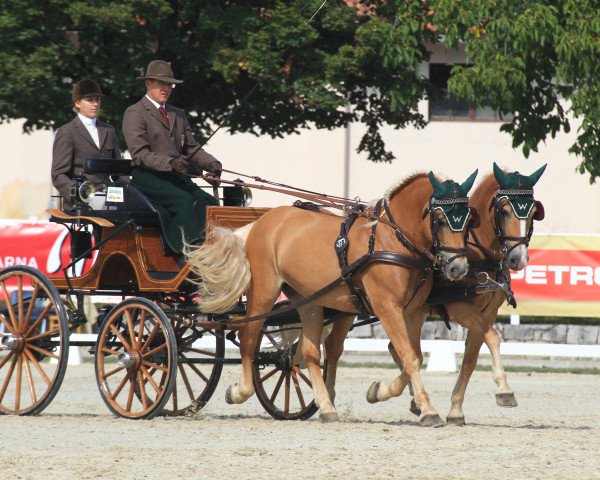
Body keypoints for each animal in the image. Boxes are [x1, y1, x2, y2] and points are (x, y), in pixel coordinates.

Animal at [186, 171, 478, 426]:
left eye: (468, 220)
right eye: (440, 219)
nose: (458, 268)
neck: (391, 239)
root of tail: (261, 222)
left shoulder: (414, 311)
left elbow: (411, 357)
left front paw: (381, 391)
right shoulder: (387, 309)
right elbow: (408, 356)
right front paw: (428, 411)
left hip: (308, 301)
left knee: (309, 352)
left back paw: (326, 407)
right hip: (264, 292)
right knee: (248, 337)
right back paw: (239, 391)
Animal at [364, 164, 548, 424]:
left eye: (533, 211)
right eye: (504, 211)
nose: (518, 259)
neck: (477, 254)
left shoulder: (488, 312)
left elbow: (471, 359)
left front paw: (456, 409)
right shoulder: (460, 308)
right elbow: (493, 337)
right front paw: (504, 390)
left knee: (399, 349)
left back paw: (411, 399)